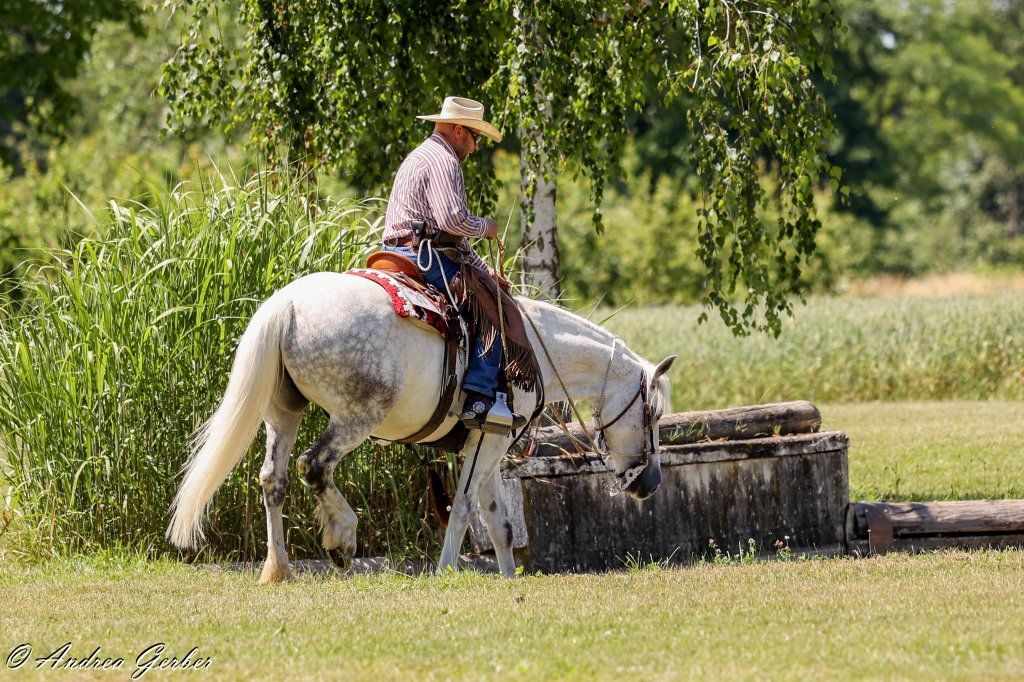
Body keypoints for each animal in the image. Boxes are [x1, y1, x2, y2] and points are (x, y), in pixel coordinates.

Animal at [166, 271, 676, 582]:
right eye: (652, 414)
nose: (651, 483)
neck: (534, 351)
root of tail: (287, 304)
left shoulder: (487, 445)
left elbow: (499, 523)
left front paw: (508, 576)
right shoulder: (488, 441)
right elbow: (465, 508)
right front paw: (446, 570)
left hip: (283, 412)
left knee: (274, 478)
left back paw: (279, 569)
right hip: (356, 415)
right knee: (316, 465)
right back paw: (342, 539)